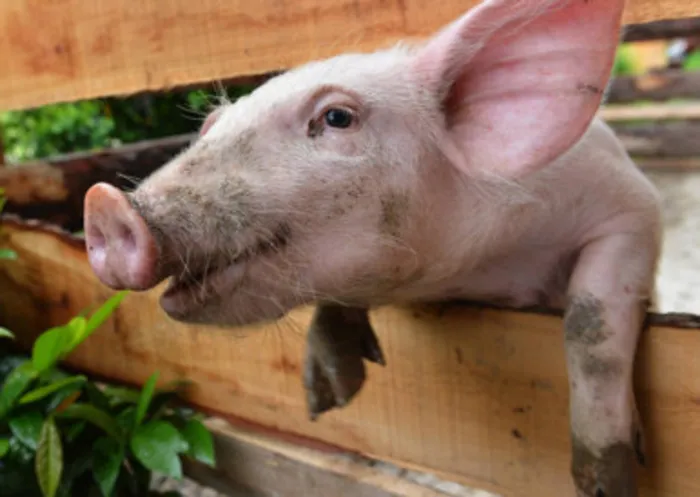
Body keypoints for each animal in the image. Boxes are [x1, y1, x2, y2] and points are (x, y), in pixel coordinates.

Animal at [82, 0, 662, 495]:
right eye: (209, 128)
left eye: (337, 117)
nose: (106, 204)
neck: (471, 275)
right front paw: (326, 400)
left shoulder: (632, 208)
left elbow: (589, 321)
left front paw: (606, 485)